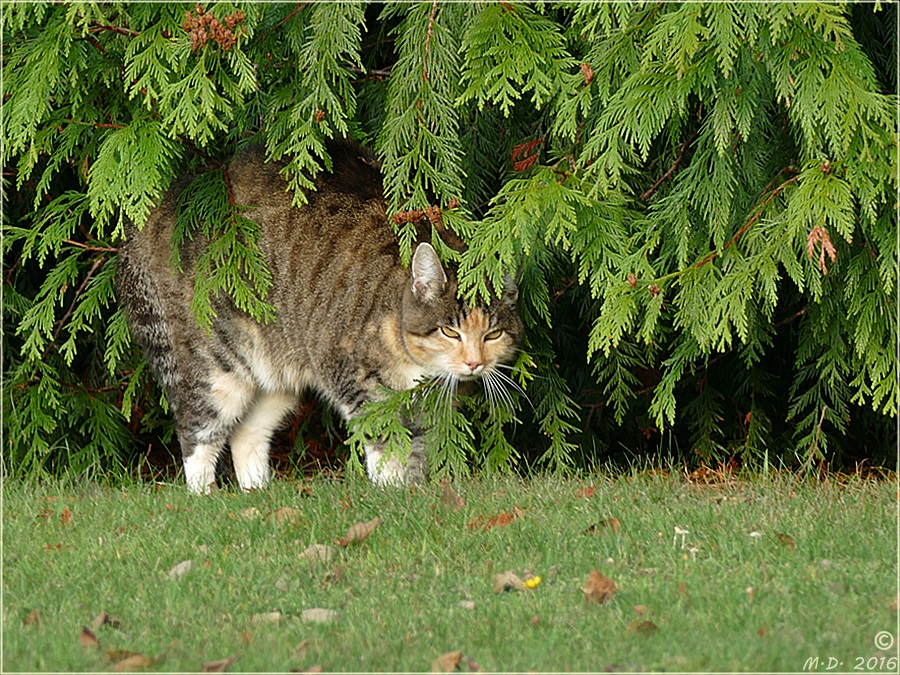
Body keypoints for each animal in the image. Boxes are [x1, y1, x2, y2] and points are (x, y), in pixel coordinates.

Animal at [118, 143, 520, 494]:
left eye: (492, 334)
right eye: (451, 332)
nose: (474, 364)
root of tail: (167, 205)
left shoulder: (427, 409)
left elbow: (417, 450)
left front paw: (415, 491)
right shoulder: (352, 376)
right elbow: (384, 441)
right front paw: (392, 492)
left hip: (277, 374)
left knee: (247, 433)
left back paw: (257, 492)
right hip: (215, 369)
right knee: (196, 430)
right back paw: (205, 496)